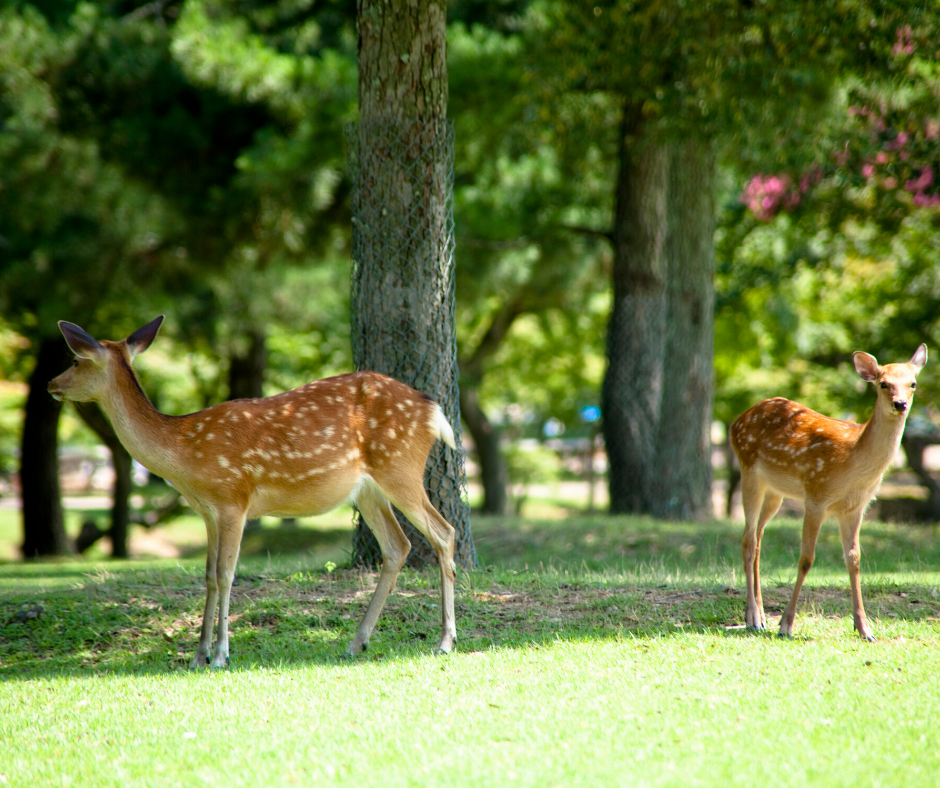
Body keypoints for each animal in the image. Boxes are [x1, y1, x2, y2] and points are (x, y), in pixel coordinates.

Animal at [47, 318, 458, 668]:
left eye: (75, 360)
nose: (52, 384)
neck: (185, 455)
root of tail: (434, 410)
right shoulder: (207, 512)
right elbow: (209, 576)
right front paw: (197, 656)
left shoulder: (234, 499)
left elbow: (227, 574)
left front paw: (220, 655)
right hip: (368, 490)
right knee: (398, 545)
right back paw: (357, 643)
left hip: (399, 467)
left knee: (444, 532)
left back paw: (444, 641)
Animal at [728, 344, 924, 640]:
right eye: (883, 383)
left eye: (912, 383)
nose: (900, 404)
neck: (853, 461)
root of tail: (736, 422)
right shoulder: (816, 495)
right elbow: (806, 559)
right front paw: (785, 625)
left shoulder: (855, 507)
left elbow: (854, 560)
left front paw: (864, 628)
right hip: (748, 470)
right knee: (748, 540)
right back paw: (753, 618)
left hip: (775, 491)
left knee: (758, 536)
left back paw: (760, 615)